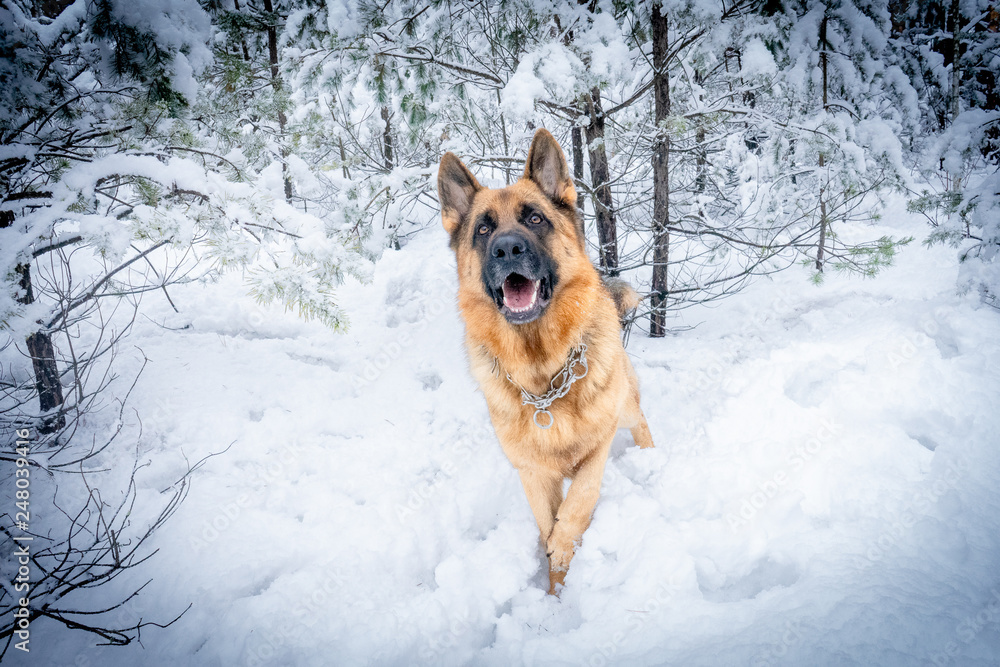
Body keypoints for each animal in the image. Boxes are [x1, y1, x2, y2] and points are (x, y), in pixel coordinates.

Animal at [440, 130, 656, 596]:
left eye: (535, 219)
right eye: (483, 228)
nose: (507, 248)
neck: (544, 376)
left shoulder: (598, 447)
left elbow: (579, 502)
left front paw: (564, 542)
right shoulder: (534, 474)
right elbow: (547, 522)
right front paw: (556, 589)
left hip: (625, 408)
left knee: (641, 419)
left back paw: (651, 458)